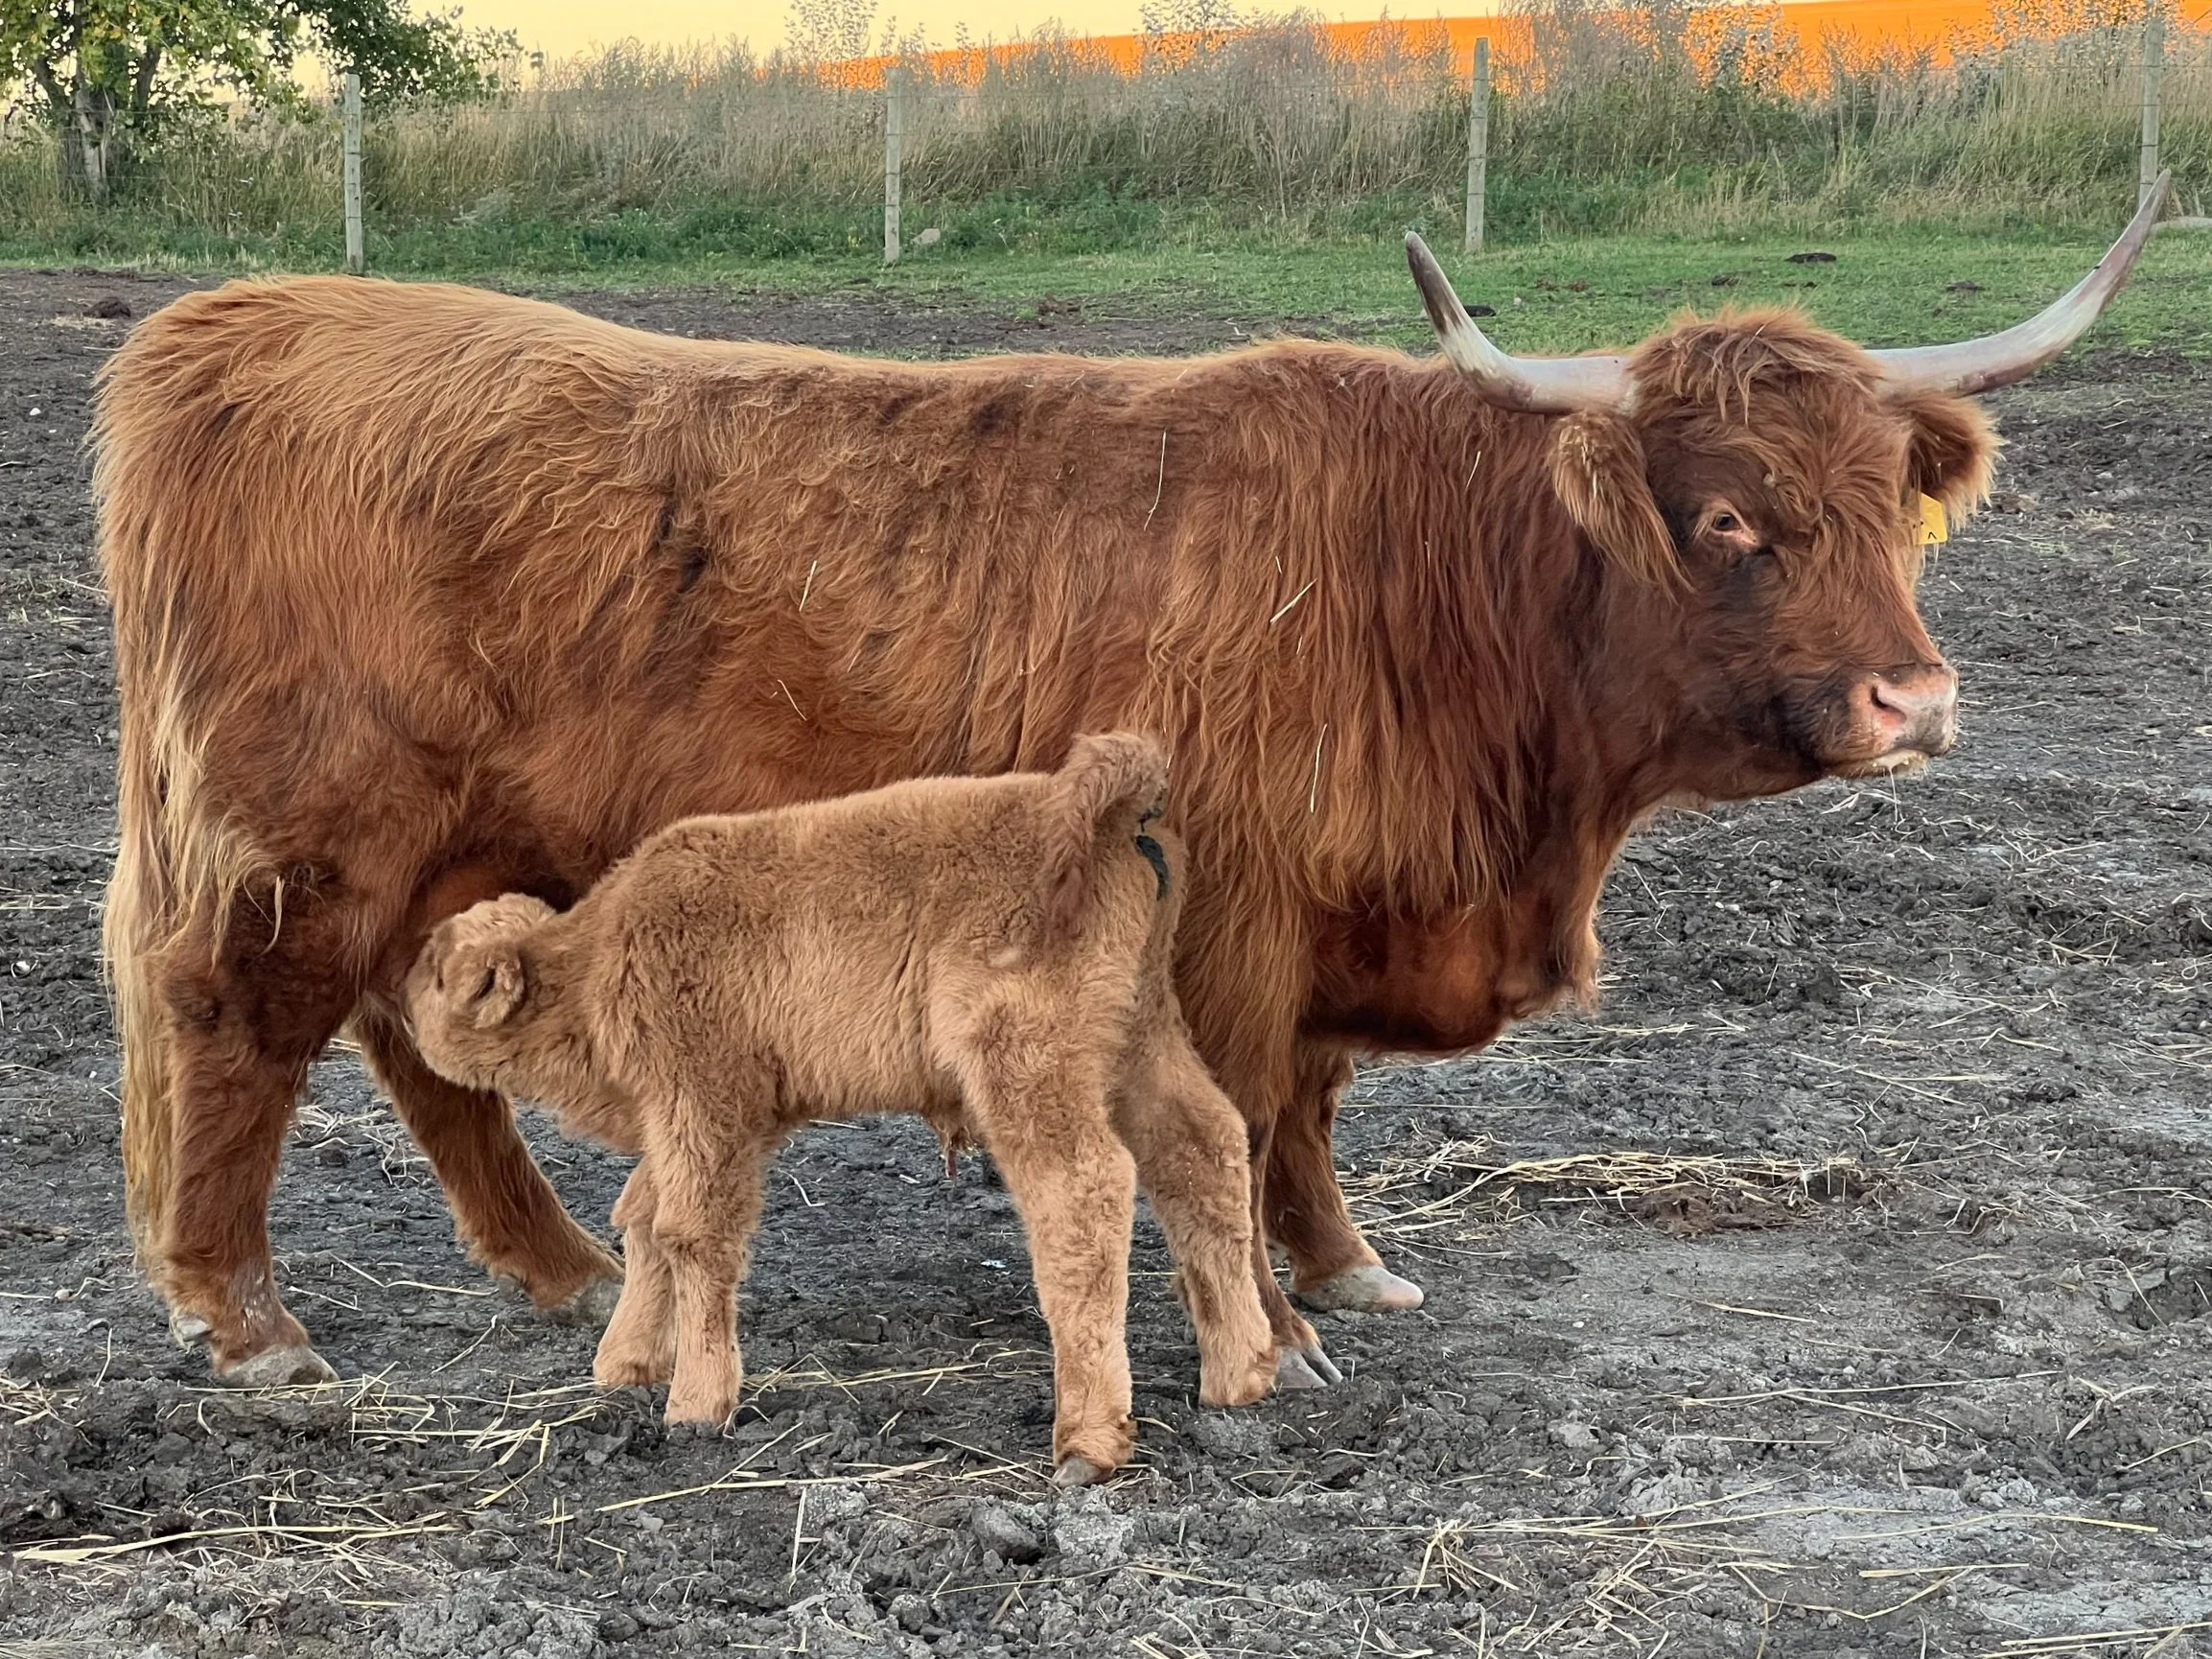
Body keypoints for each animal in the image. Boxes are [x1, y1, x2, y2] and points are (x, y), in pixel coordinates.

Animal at [95, 178, 2167, 1389]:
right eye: (1730, 517)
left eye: (1893, 505)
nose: (1912, 700)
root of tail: (232, 321)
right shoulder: (1232, 919)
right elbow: (1237, 1118)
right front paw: (1269, 1325)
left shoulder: (1325, 914)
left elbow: (1309, 1114)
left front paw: (1347, 1271)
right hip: (304, 838)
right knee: (236, 1018)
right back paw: (244, 1318)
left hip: (434, 851)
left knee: (409, 1033)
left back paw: (553, 1266)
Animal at [400, 732, 1276, 1483]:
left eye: (440, 969)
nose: (402, 988)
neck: (592, 964)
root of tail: (1097, 810)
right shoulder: (714, 1121)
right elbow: (644, 1218)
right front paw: (625, 1368)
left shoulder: (704, 1100)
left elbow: (690, 1234)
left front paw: (696, 1406)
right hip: (1139, 1039)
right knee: (1203, 1150)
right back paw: (1242, 1375)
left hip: (1028, 1064)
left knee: (1082, 1192)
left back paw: (1088, 1442)